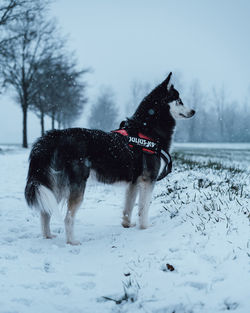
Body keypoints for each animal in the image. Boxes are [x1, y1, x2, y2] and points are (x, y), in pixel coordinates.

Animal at [24, 72, 194, 244]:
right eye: (179, 100)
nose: (193, 111)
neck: (147, 130)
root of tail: (56, 135)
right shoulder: (148, 180)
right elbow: (143, 208)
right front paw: (145, 227)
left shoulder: (134, 182)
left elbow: (128, 207)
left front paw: (127, 224)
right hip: (75, 185)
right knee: (68, 217)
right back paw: (72, 242)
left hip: (55, 186)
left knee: (45, 211)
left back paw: (47, 236)